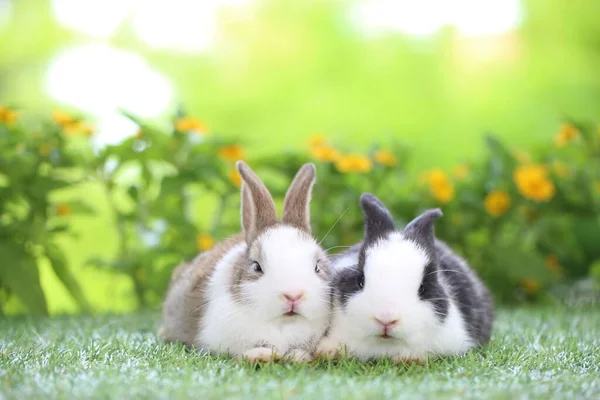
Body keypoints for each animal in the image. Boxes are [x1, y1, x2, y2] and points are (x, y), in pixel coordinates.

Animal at [159, 162, 332, 362]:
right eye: (257, 267)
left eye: (317, 267)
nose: (293, 295)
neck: (282, 326)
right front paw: (261, 356)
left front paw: (298, 357)